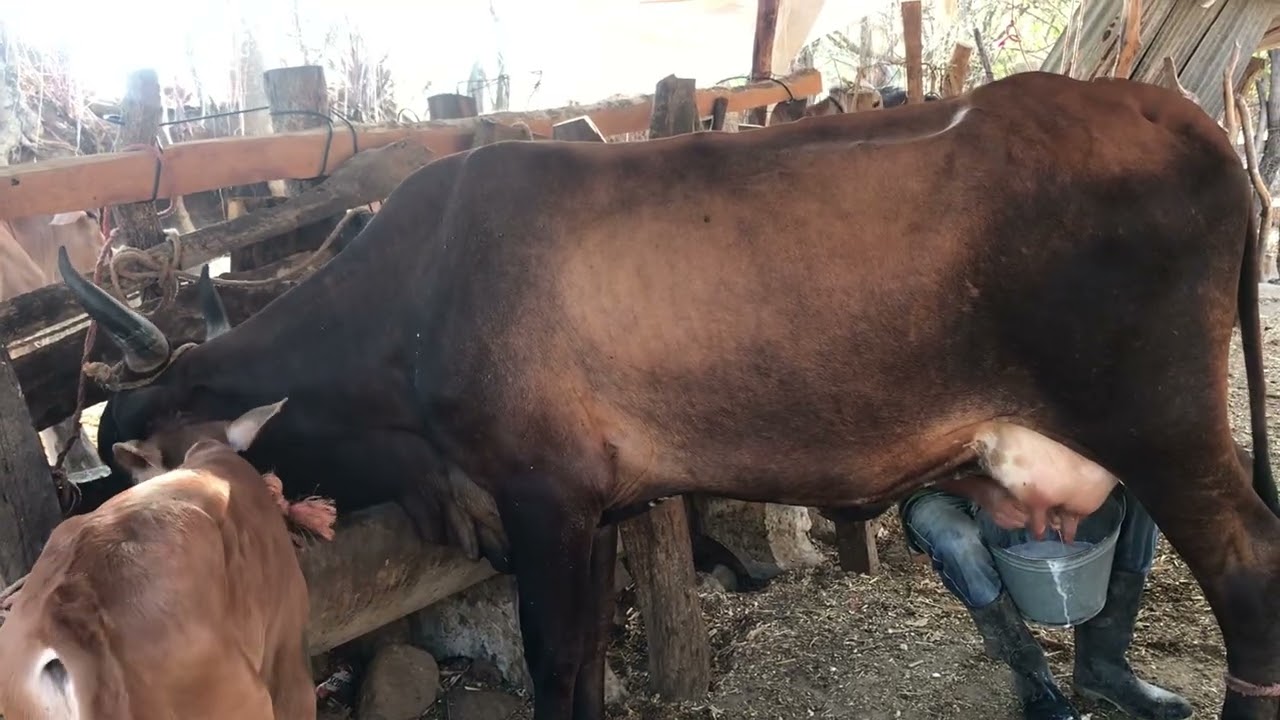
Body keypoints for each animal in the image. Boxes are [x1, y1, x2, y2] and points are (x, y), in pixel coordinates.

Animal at [57, 71, 1280, 720]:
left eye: (132, 463)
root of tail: (1176, 115)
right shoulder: (596, 509)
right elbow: (591, 662)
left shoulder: (543, 502)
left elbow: (559, 666)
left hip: (1162, 425)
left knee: (1251, 572)